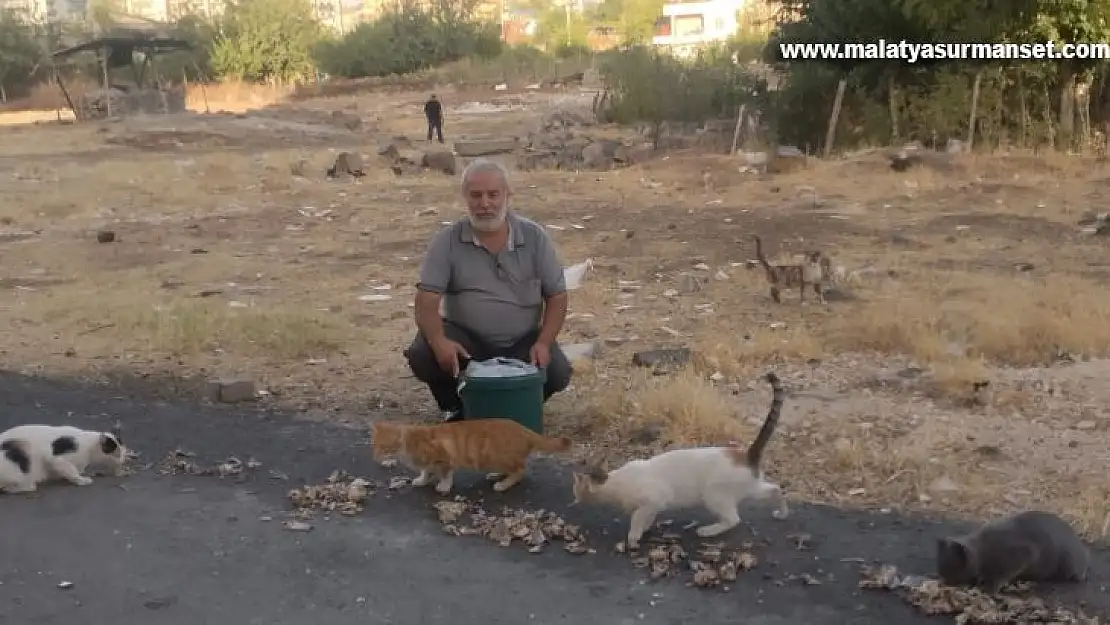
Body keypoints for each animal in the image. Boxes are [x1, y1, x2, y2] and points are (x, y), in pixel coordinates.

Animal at [370, 417, 572, 497]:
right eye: (374, 446)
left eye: (384, 448)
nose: (375, 457)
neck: (409, 442)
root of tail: (524, 429)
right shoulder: (430, 462)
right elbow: (426, 470)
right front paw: (422, 479)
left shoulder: (444, 458)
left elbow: (445, 474)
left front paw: (443, 486)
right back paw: (496, 475)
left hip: (498, 456)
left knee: (520, 470)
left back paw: (503, 483)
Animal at [572, 375, 790, 550]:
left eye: (576, 488)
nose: (574, 498)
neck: (613, 483)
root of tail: (747, 455)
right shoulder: (655, 504)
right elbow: (648, 516)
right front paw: (644, 529)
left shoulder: (654, 498)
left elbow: (636, 518)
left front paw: (633, 538)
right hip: (751, 488)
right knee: (775, 489)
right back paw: (781, 513)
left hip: (713, 494)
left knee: (733, 519)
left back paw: (708, 530)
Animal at [936, 510, 1092, 595]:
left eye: (952, 570)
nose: (944, 583)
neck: (981, 551)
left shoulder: (1023, 553)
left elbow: (999, 576)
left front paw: (990, 587)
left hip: (1069, 563)